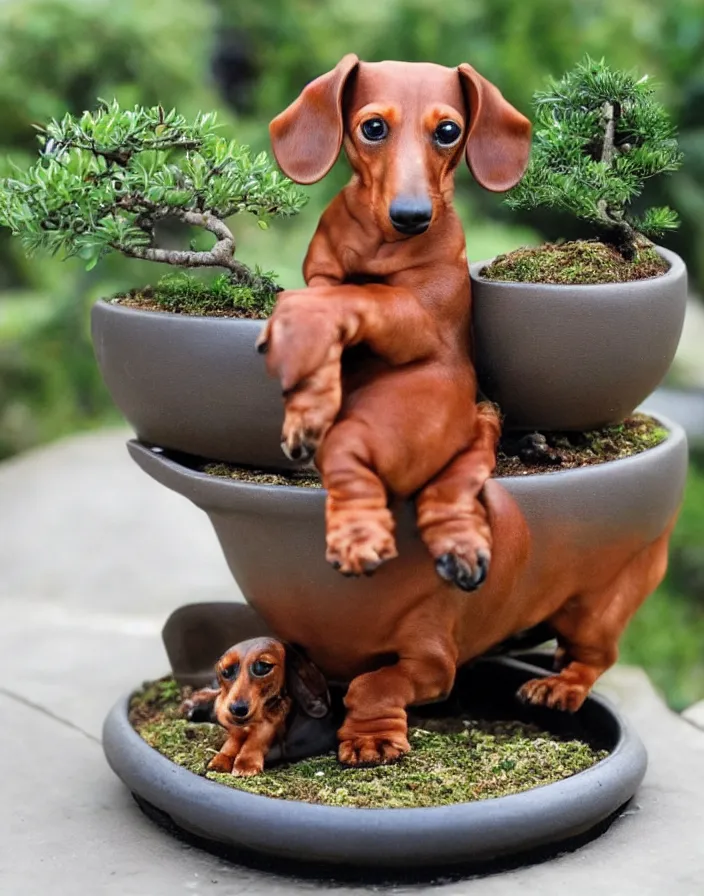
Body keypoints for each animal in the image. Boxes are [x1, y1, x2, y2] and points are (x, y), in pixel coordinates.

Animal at [184, 636, 332, 776]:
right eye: (225, 672)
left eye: (263, 667)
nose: (237, 709)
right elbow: (233, 738)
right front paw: (222, 758)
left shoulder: (271, 727)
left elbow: (258, 737)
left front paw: (246, 762)